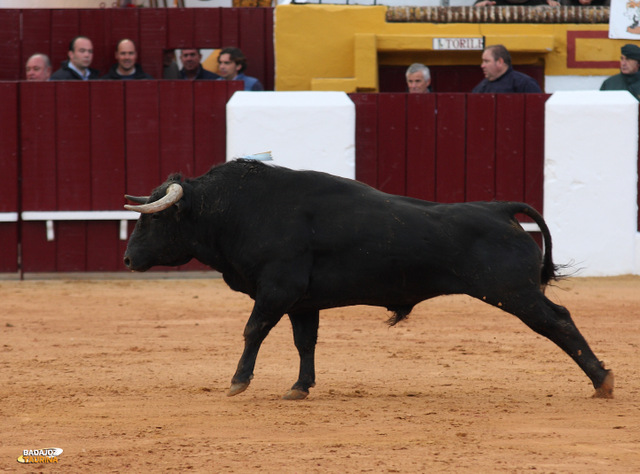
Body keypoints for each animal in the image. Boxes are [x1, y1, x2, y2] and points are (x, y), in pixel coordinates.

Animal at [122, 160, 612, 400]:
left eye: (152, 220)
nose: (126, 259)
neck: (235, 210)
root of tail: (499, 208)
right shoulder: (302, 302)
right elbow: (305, 342)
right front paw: (300, 388)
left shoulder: (276, 290)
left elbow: (253, 330)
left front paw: (238, 382)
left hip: (514, 292)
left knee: (558, 322)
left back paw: (602, 382)